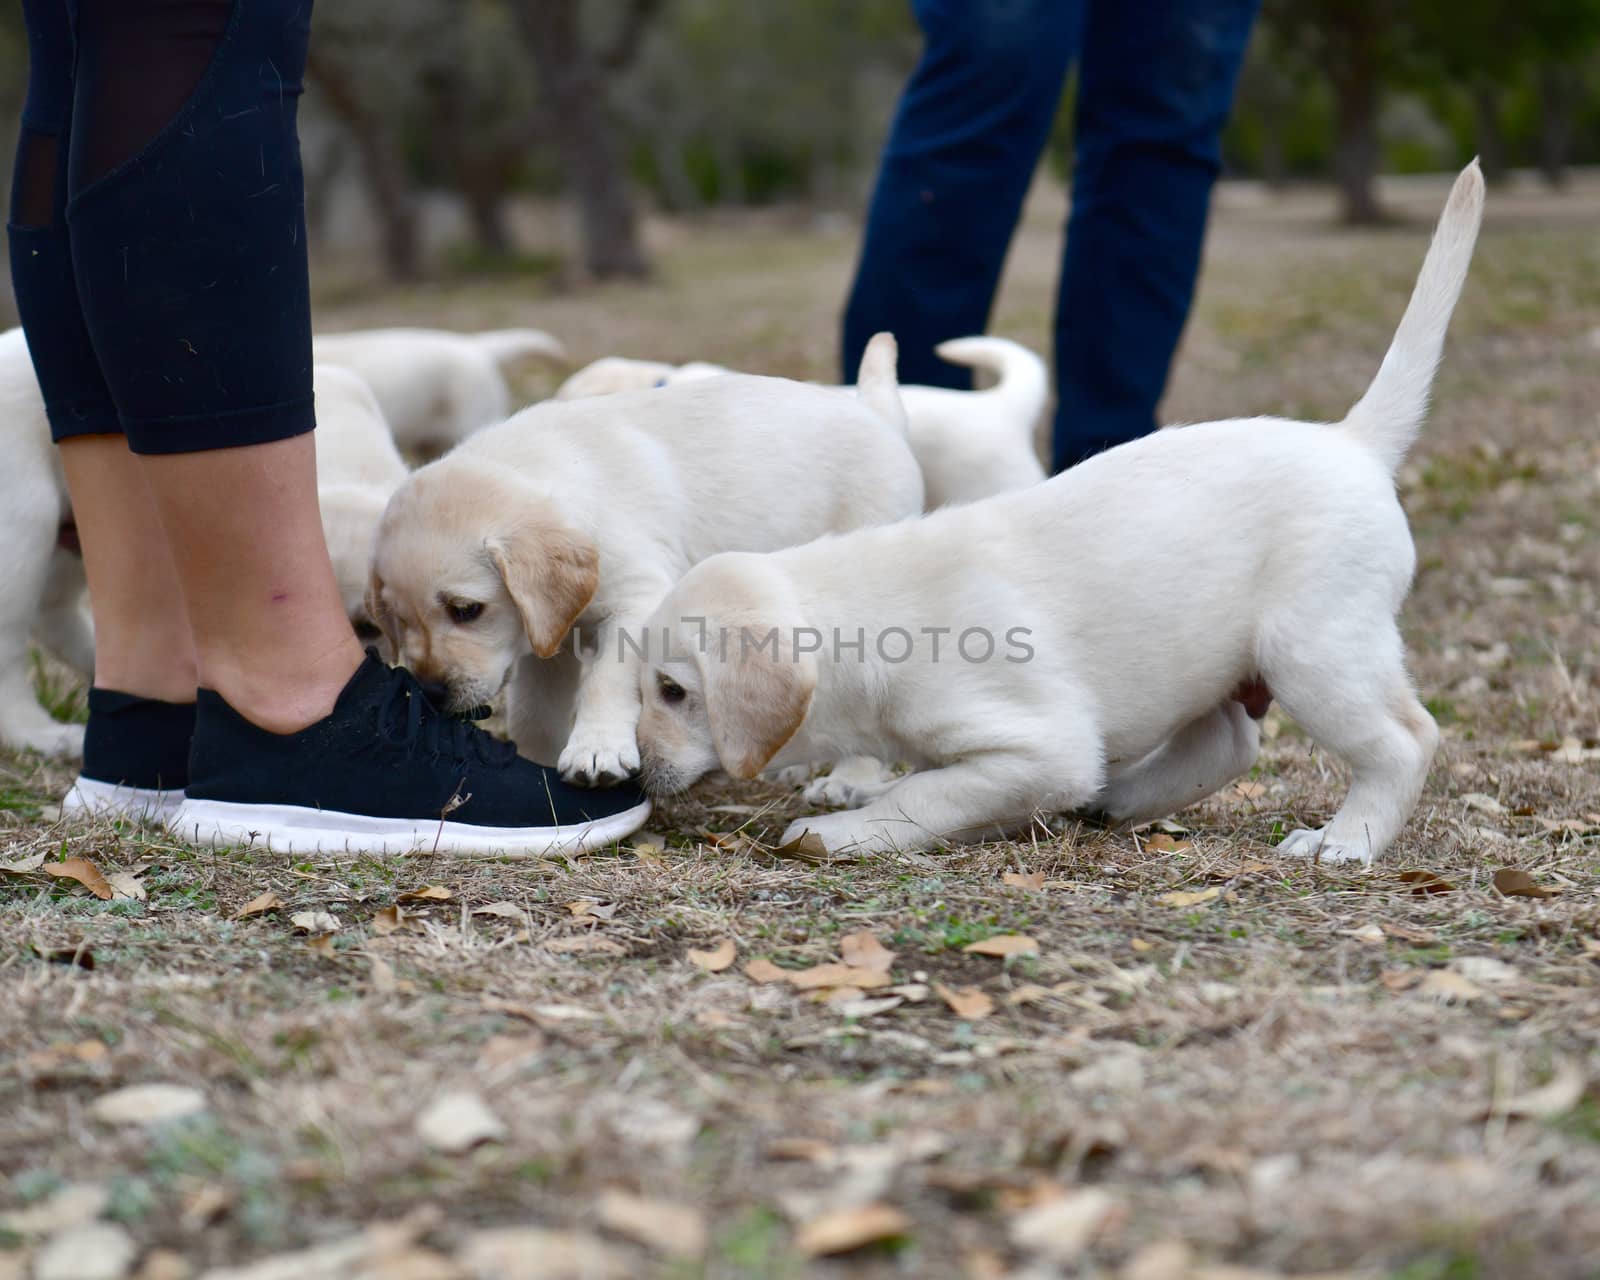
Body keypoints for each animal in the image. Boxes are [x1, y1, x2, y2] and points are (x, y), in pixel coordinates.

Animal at [636, 157, 1484, 857]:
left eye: (674, 691)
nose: (635, 775)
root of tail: (1352, 439)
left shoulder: (1039, 746)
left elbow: (926, 793)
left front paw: (841, 828)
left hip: (1316, 649)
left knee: (1406, 738)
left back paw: (1346, 841)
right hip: (1225, 660)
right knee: (1226, 745)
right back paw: (1119, 801)